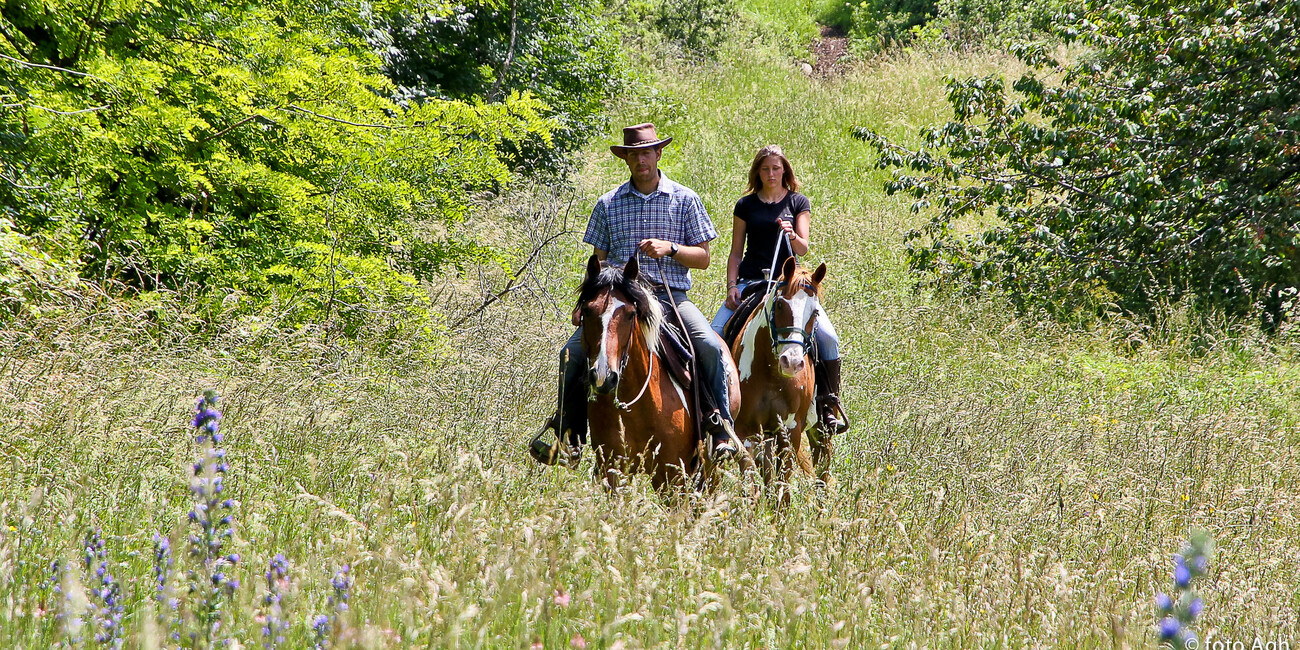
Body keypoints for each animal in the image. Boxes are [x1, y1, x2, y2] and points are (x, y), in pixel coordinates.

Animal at [577, 252, 748, 488]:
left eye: (630, 313)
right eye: (587, 310)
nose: (604, 376)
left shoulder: (672, 474)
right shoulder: (613, 470)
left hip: (712, 468)